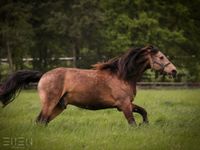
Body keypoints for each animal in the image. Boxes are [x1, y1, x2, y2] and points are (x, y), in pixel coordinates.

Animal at [0, 45, 177, 125]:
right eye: (161, 57)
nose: (174, 71)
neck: (122, 76)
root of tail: (43, 75)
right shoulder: (124, 105)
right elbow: (132, 122)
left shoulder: (124, 104)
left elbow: (143, 111)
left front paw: (145, 124)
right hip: (50, 103)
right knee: (41, 120)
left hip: (59, 106)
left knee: (43, 121)